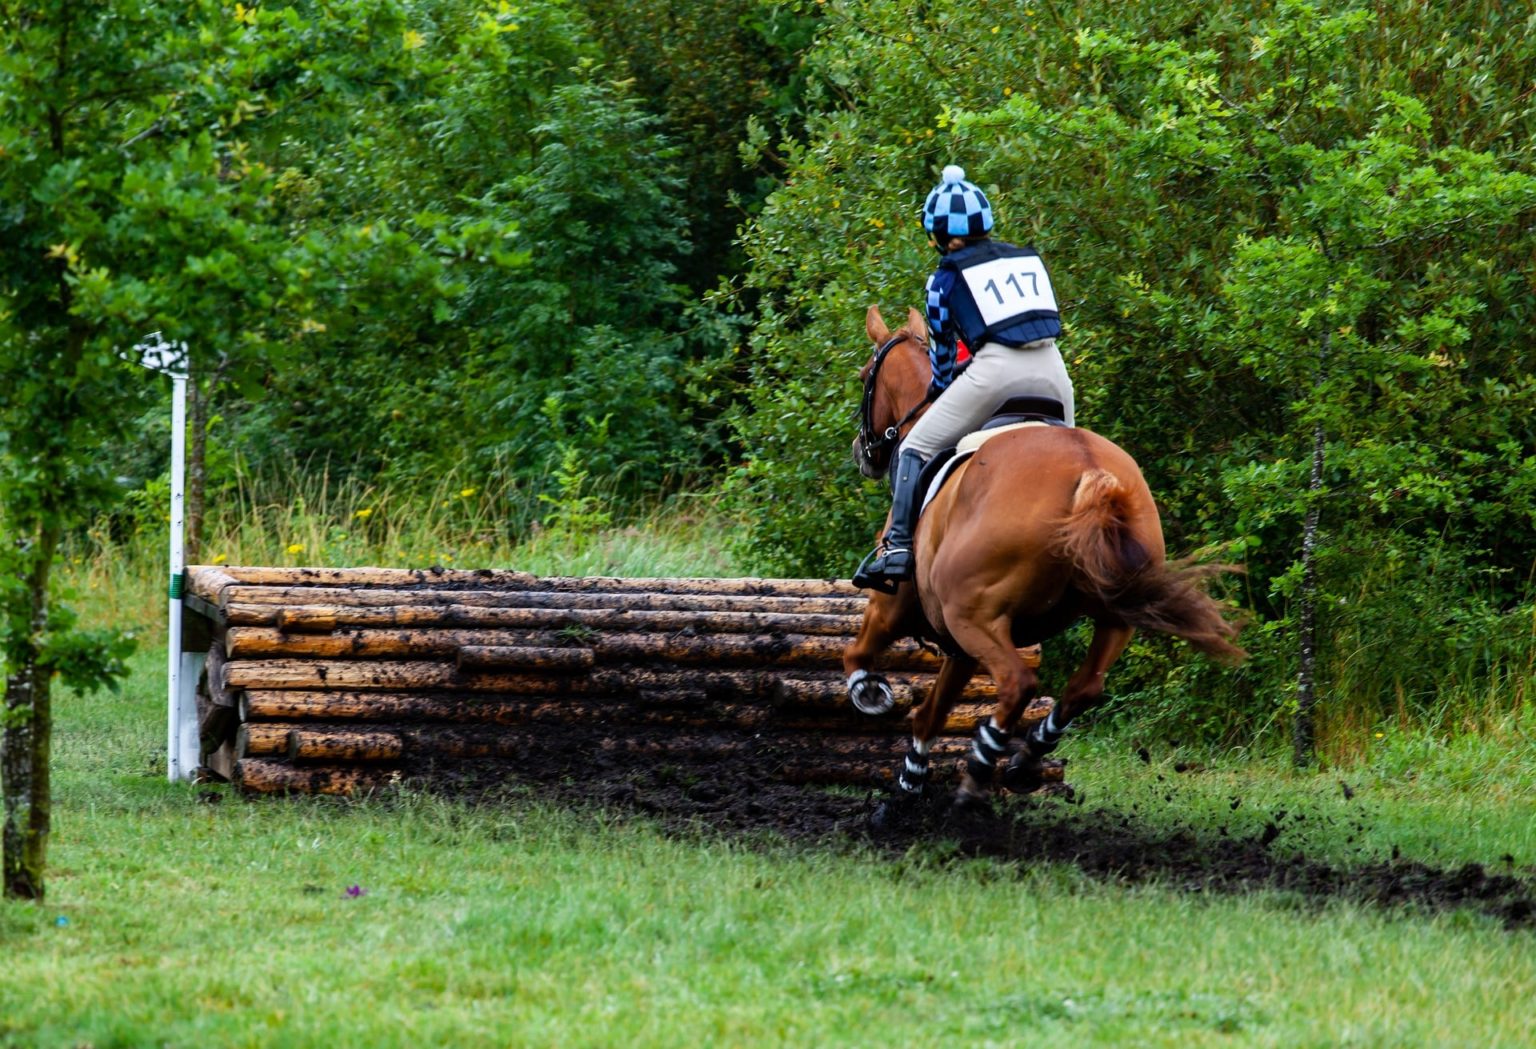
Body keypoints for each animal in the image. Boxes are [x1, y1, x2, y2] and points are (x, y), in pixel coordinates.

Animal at [844, 305, 1245, 807]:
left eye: (865, 376)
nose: (862, 452)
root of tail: (1090, 472)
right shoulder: (959, 649)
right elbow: (931, 715)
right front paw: (909, 785)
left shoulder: (893, 609)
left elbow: (857, 657)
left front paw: (870, 694)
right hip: (1112, 614)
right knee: (1085, 687)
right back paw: (1024, 760)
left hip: (973, 615)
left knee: (1019, 683)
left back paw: (982, 767)